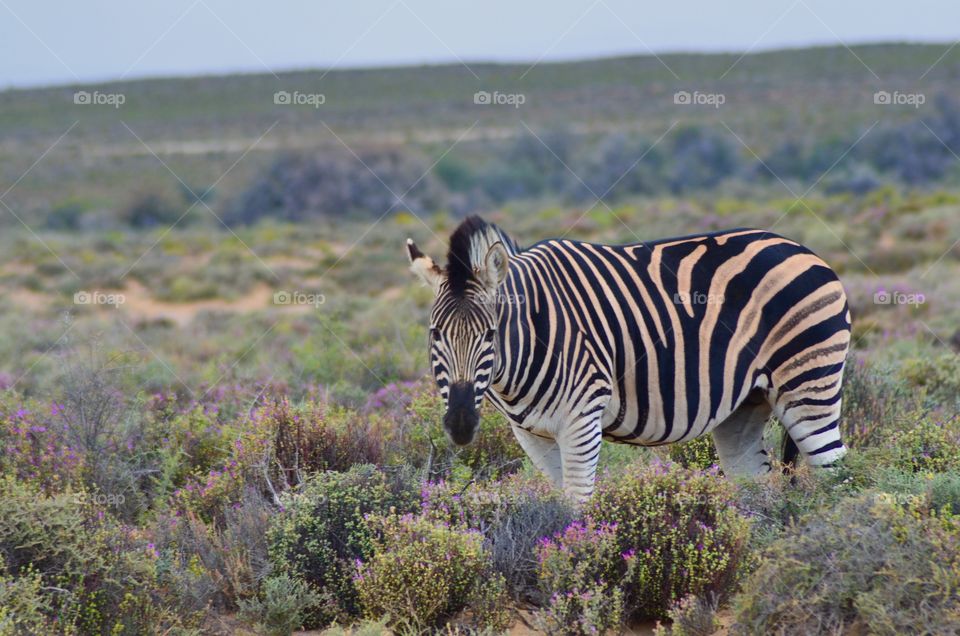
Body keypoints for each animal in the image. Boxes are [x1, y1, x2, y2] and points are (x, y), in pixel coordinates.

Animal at [404, 219, 848, 502]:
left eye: (490, 335)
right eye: (436, 335)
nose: (460, 424)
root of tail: (801, 249)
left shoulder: (581, 420)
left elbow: (578, 508)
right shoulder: (532, 435)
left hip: (809, 383)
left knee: (838, 476)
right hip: (745, 407)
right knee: (756, 488)